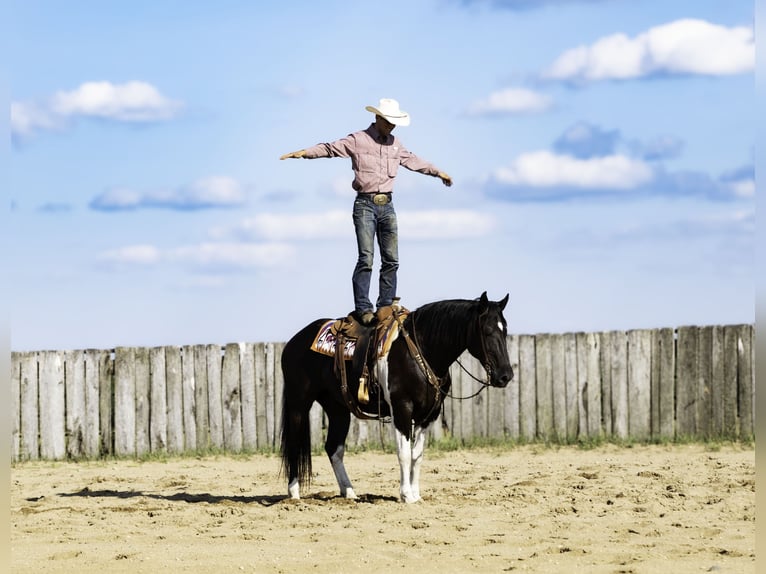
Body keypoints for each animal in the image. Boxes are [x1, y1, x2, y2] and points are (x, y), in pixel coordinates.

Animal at [280, 292, 512, 504]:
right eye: (487, 331)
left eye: (505, 330)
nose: (505, 375)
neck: (421, 351)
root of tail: (294, 342)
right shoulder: (402, 409)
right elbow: (404, 454)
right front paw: (406, 495)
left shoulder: (428, 415)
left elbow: (417, 455)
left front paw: (416, 494)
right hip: (299, 403)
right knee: (294, 444)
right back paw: (294, 493)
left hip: (338, 408)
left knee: (334, 449)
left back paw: (349, 492)